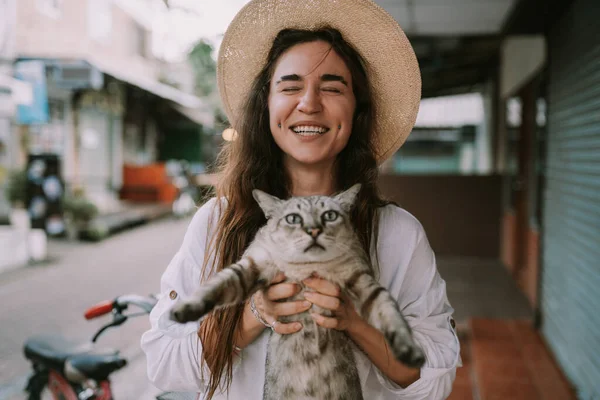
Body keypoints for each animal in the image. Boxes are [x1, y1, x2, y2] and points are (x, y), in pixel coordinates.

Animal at [171, 185, 424, 400]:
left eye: (329, 216)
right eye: (293, 218)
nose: (314, 230)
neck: (307, 266)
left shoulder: (360, 278)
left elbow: (388, 311)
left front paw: (409, 350)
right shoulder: (254, 264)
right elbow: (219, 285)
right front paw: (184, 310)